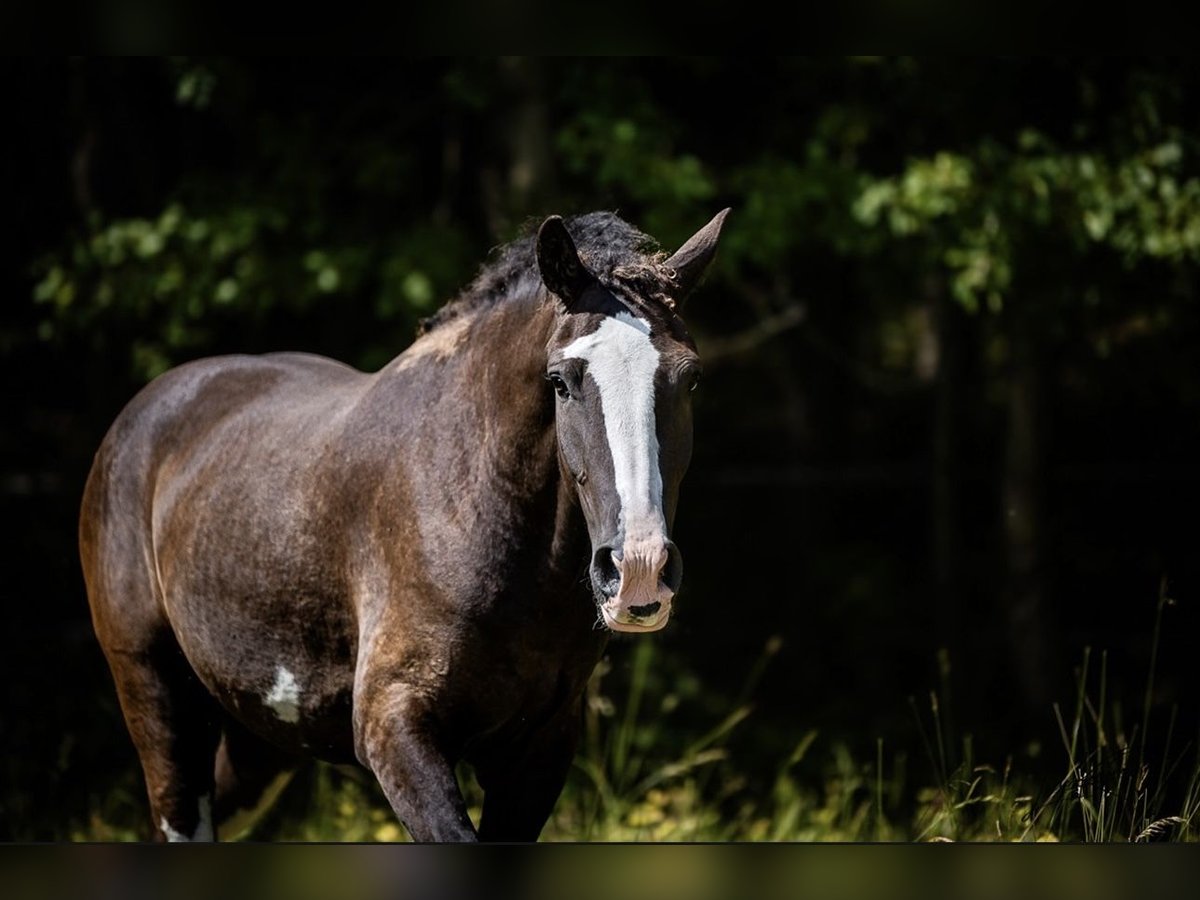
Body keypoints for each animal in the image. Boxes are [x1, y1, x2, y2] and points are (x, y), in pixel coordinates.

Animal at [82, 207, 729, 844]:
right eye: (561, 381)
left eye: (691, 378)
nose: (638, 569)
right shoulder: (394, 726)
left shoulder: (537, 752)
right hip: (156, 695)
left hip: (257, 733)